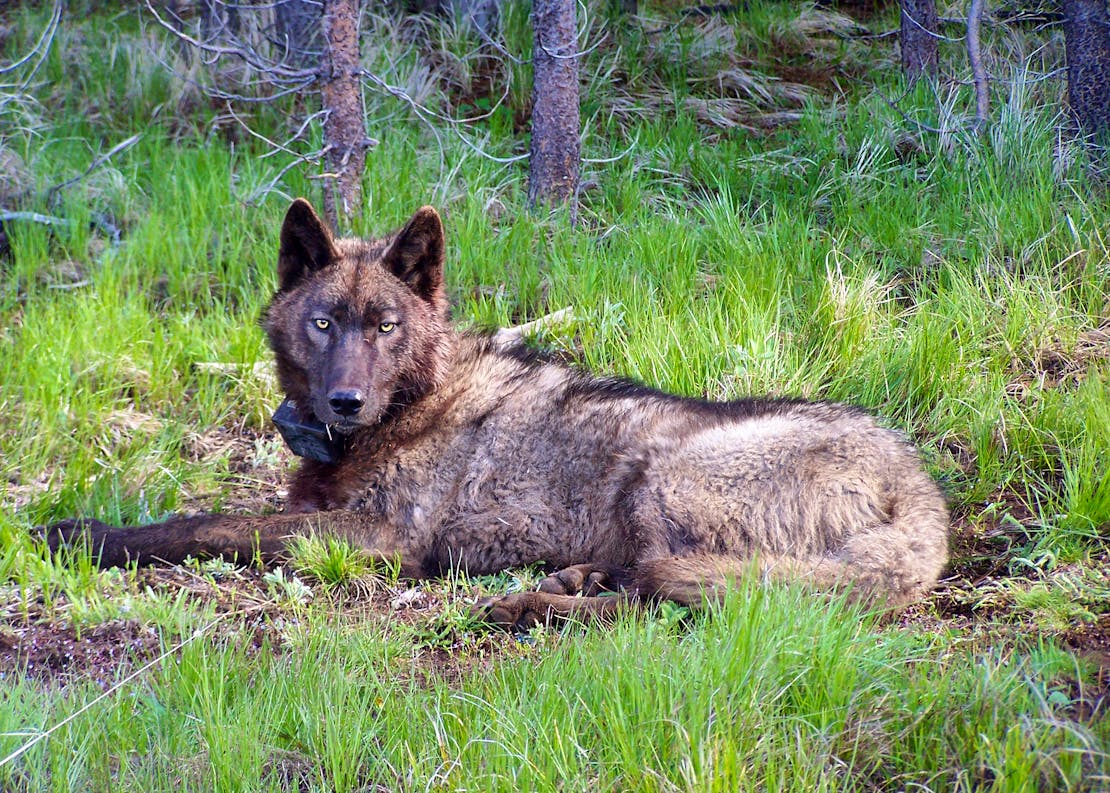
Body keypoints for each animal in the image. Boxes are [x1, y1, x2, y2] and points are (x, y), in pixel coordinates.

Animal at [47, 199, 949, 629]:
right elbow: (222, 516)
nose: (345, 400)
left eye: (386, 326)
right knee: (663, 587)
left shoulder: (380, 538)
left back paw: (528, 605)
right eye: (325, 323)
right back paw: (571, 580)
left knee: (671, 598)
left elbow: (207, 525)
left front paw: (86, 534)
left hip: (660, 474)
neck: (413, 401)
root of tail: (921, 488)